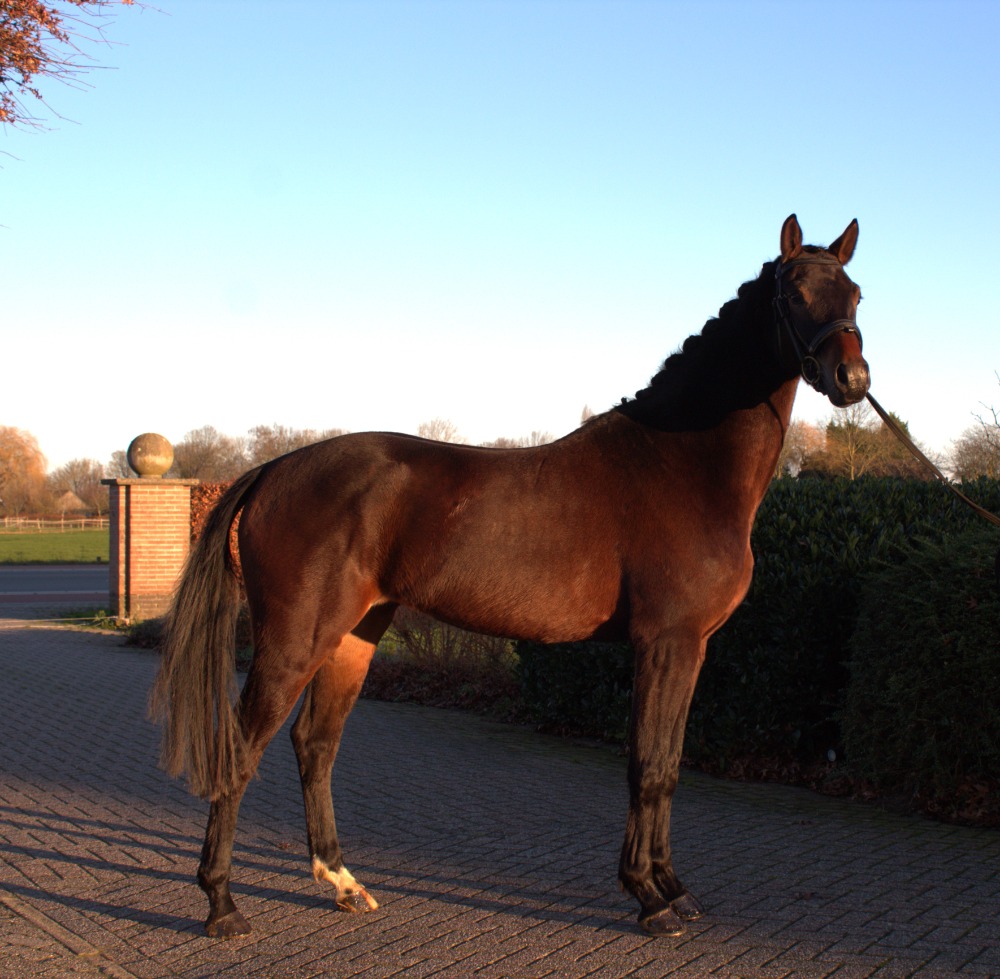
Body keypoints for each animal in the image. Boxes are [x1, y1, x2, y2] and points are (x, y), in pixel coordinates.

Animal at [151, 214, 870, 938]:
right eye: (794, 292)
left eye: (856, 294)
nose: (851, 377)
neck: (681, 463)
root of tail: (275, 469)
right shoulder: (666, 643)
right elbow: (647, 764)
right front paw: (650, 897)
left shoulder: (692, 649)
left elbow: (668, 765)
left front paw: (673, 887)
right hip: (295, 638)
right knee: (243, 749)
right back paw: (222, 905)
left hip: (356, 633)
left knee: (315, 743)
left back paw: (343, 883)